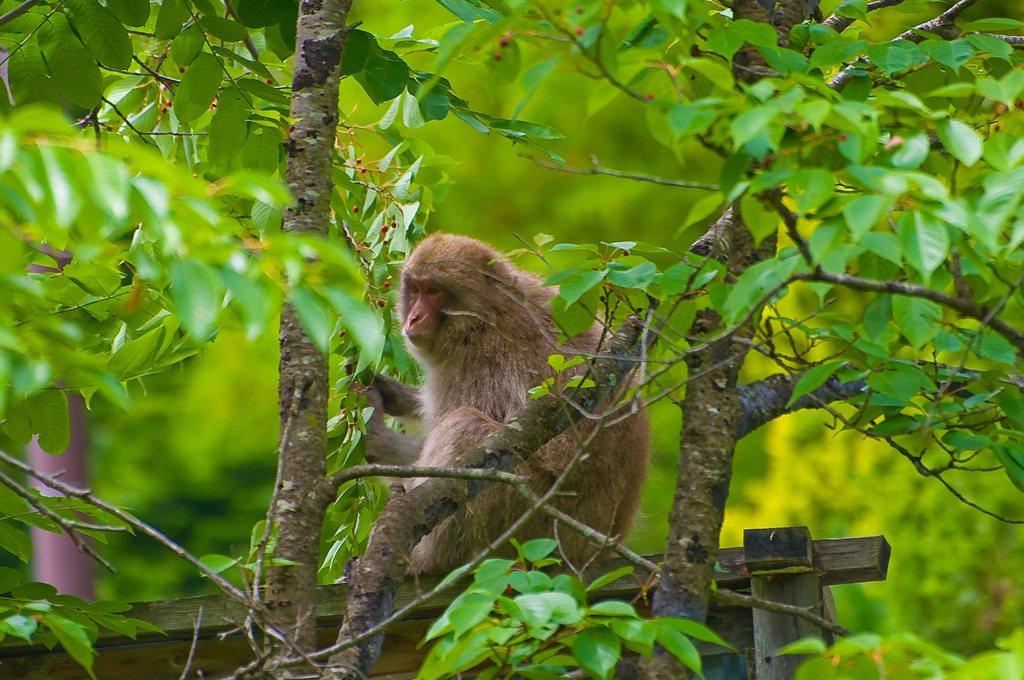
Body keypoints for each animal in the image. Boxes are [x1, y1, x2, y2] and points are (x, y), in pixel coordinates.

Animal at [366, 232, 647, 573]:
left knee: (465, 426)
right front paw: (393, 396)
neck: (485, 314)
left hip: (531, 524)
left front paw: (380, 442)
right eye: (415, 289)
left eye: (434, 291)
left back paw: (429, 560)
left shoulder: (475, 365)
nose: (413, 317)